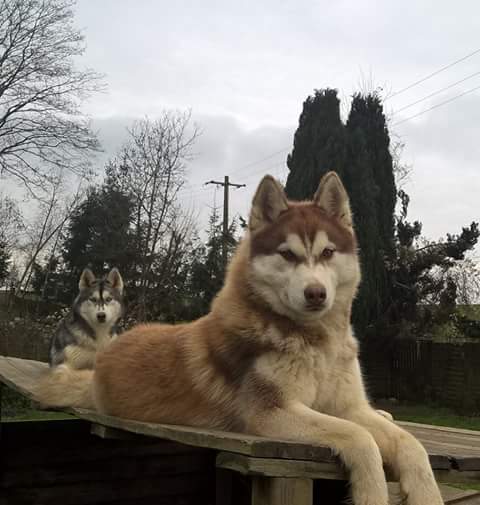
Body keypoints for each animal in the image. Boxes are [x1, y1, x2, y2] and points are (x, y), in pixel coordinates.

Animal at [35, 173, 443, 505]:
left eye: (328, 252)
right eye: (287, 254)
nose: (316, 294)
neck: (316, 342)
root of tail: (105, 357)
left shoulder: (348, 405)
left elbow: (410, 444)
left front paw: (425, 492)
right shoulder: (270, 413)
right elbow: (361, 438)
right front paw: (372, 491)